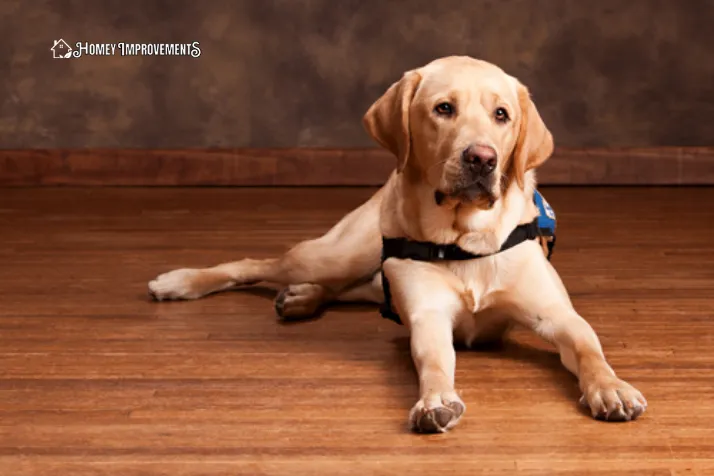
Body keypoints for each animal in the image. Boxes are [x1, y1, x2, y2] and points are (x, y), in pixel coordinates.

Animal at [149, 54, 644, 432]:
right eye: (443, 109)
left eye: (501, 115)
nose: (482, 158)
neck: (465, 239)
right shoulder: (428, 316)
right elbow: (435, 361)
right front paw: (436, 399)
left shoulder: (557, 315)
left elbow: (590, 349)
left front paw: (611, 388)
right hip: (337, 253)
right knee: (260, 264)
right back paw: (181, 282)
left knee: (356, 288)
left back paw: (302, 299)